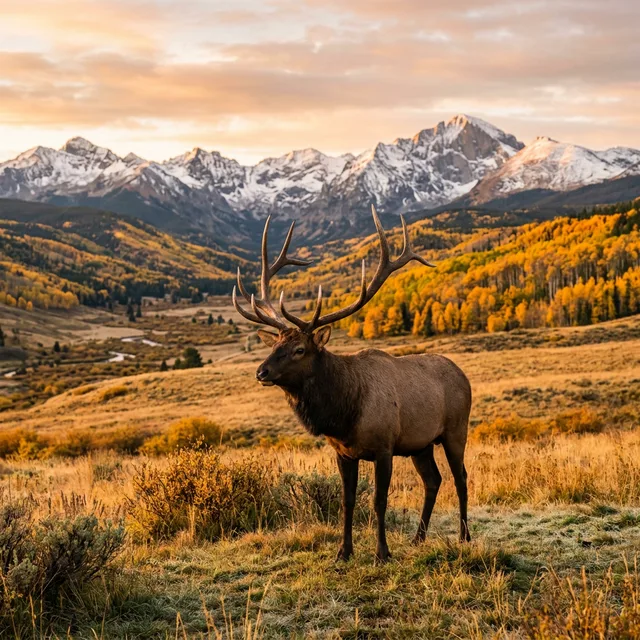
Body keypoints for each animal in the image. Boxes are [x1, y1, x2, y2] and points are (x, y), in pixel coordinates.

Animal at [232, 206, 472, 563]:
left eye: (300, 349)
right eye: (274, 344)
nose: (261, 371)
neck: (344, 415)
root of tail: (464, 376)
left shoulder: (385, 447)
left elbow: (378, 501)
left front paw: (381, 553)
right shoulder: (343, 453)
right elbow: (347, 501)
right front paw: (343, 552)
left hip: (456, 430)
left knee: (460, 478)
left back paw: (464, 536)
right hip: (420, 443)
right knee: (433, 480)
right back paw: (418, 538)